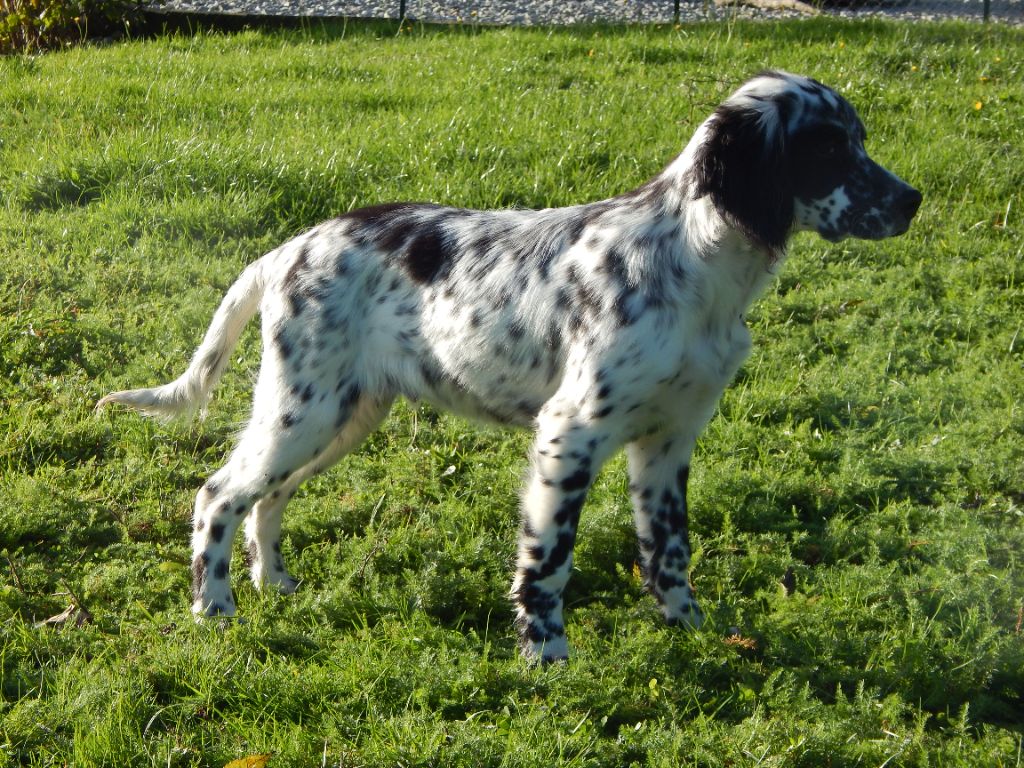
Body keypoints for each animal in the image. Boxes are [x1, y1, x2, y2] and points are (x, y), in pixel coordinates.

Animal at [98, 71, 921, 662]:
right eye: (828, 149)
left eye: (859, 140)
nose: (913, 201)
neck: (694, 263)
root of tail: (288, 248)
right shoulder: (571, 431)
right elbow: (548, 561)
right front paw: (547, 657)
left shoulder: (669, 440)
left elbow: (669, 552)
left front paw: (692, 631)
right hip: (303, 409)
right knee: (218, 494)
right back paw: (215, 609)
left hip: (344, 415)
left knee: (267, 497)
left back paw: (273, 581)